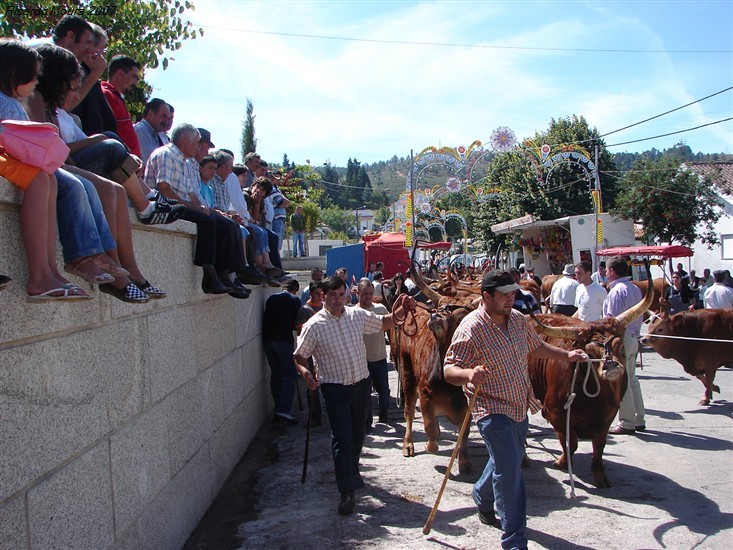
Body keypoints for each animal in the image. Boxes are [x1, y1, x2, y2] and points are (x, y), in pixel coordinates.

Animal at [528, 274, 652, 488]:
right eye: (590, 353)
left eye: (620, 347)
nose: (612, 367)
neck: (595, 399)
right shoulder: (555, 412)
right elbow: (571, 442)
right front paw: (562, 462)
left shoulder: (609, 415)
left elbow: (599, 445)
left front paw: (599, 474)